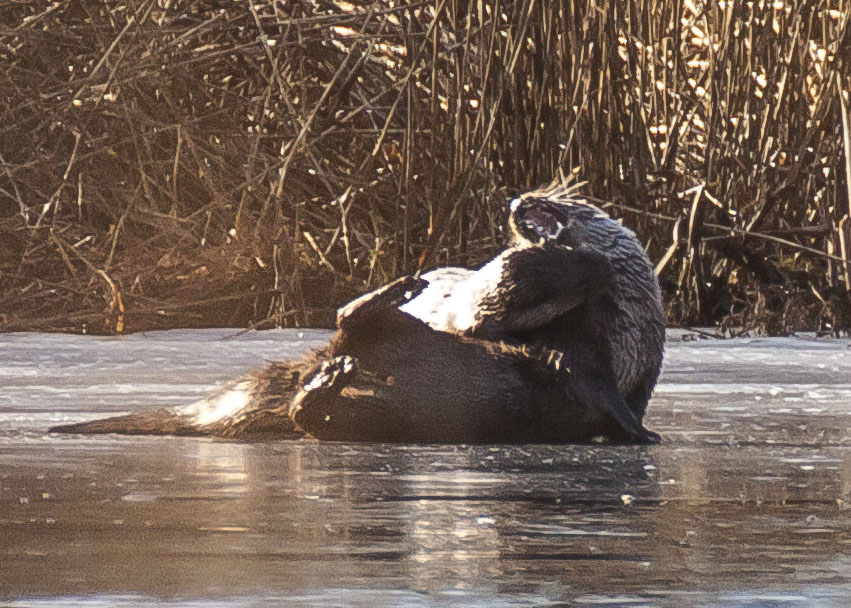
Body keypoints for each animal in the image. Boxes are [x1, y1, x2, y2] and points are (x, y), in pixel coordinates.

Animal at [50, 185, 668, 442]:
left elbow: (601, 392)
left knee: (320, 396)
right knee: (349, 326)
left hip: (375, 404)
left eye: (572, 203)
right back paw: (393, 295)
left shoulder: (606, 357)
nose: (516, 200)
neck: (624, 333)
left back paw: (333, 373)